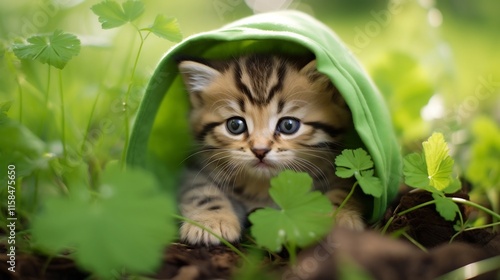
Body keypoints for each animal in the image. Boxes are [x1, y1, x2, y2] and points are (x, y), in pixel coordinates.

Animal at [178, 54, 366, 245]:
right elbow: (201, 192)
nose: (260, 150)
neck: (264, 187)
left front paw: (338, 219)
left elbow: (344, 190)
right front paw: (210, 221)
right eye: (235, 125)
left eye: (288, 125)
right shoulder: (194, 171)